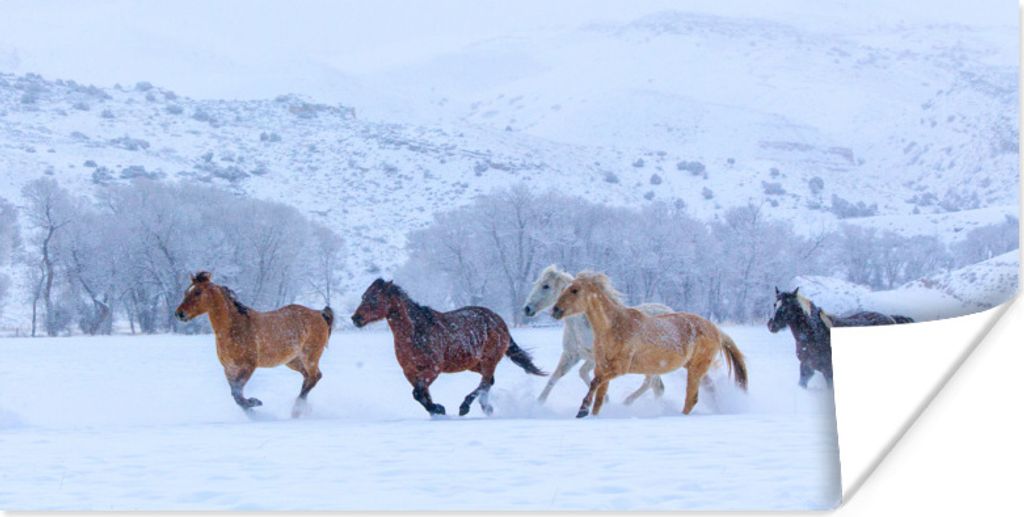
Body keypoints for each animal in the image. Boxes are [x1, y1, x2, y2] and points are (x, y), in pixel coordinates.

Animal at [174, 271, 334, 417]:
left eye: (197, 292)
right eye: (186, 291)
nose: (179, 314)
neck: (234, 327)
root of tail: (319, 313)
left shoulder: (248, 365)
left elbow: (237, 393)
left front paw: (255, 403)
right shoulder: (229, 368)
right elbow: (236, 394)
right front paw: (251, 410)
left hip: (309, 356)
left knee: (314, 377)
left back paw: (296, 410)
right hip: (292, 361)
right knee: (309, 378)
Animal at [350, 279, 547, 417]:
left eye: (374, 298)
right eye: (363, 296)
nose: (355, 318)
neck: (415, 332)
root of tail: (498, 320)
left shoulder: (433, 369)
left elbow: (418, 393)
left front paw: (439, 409)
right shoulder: (410, 371)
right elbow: (421, 394)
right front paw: (436, 410)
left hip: (489, 360)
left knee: (485, 382)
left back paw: (466, 407)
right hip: (474, 364)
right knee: (488, 382)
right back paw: (486, 407)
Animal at [523, 265, 673, 405]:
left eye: (546, 286)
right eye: (536, 284)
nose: (527, 309)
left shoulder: (598, 358)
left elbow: (588, 375)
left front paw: (604, 400)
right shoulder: (571, 355)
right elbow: (557, 377)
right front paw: (538, 403)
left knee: (652, 383)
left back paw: (627, 403)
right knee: (656, 386)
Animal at [550, 272, 747, 418]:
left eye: (575, 290)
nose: (555, 310)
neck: (614, 326)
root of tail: (716, 330)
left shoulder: (619, 368)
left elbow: (594, 382)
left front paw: (582, 410)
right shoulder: (601, 366)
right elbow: (599, 395)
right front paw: (591, 413)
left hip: (695, 369)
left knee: (691, 398)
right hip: (694, 367)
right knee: (708, 390)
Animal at [767, 287, 914, 388]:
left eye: (787, 306)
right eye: (774, 304)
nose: (771, 325)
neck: (814, 334)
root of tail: (891, 318)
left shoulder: (828, 371)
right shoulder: (806, 367)